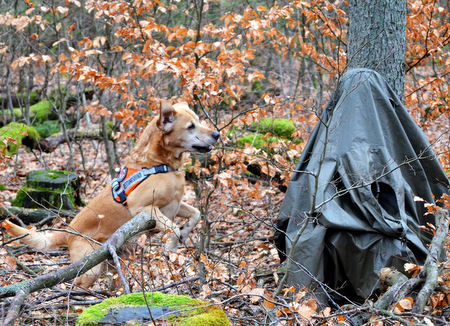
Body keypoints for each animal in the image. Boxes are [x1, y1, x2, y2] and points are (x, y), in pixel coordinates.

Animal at [2, 102, 221, 288]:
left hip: (117, 260)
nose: (217, 134)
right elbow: (173, 228)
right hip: (90, 269)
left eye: (198, 121)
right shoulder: (142, 207)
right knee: (75, 284)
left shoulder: (177, 202)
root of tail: (67, 231)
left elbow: (196, 215)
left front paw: (183, 233)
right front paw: (172, 246)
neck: (159, 163)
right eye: (191, 126)